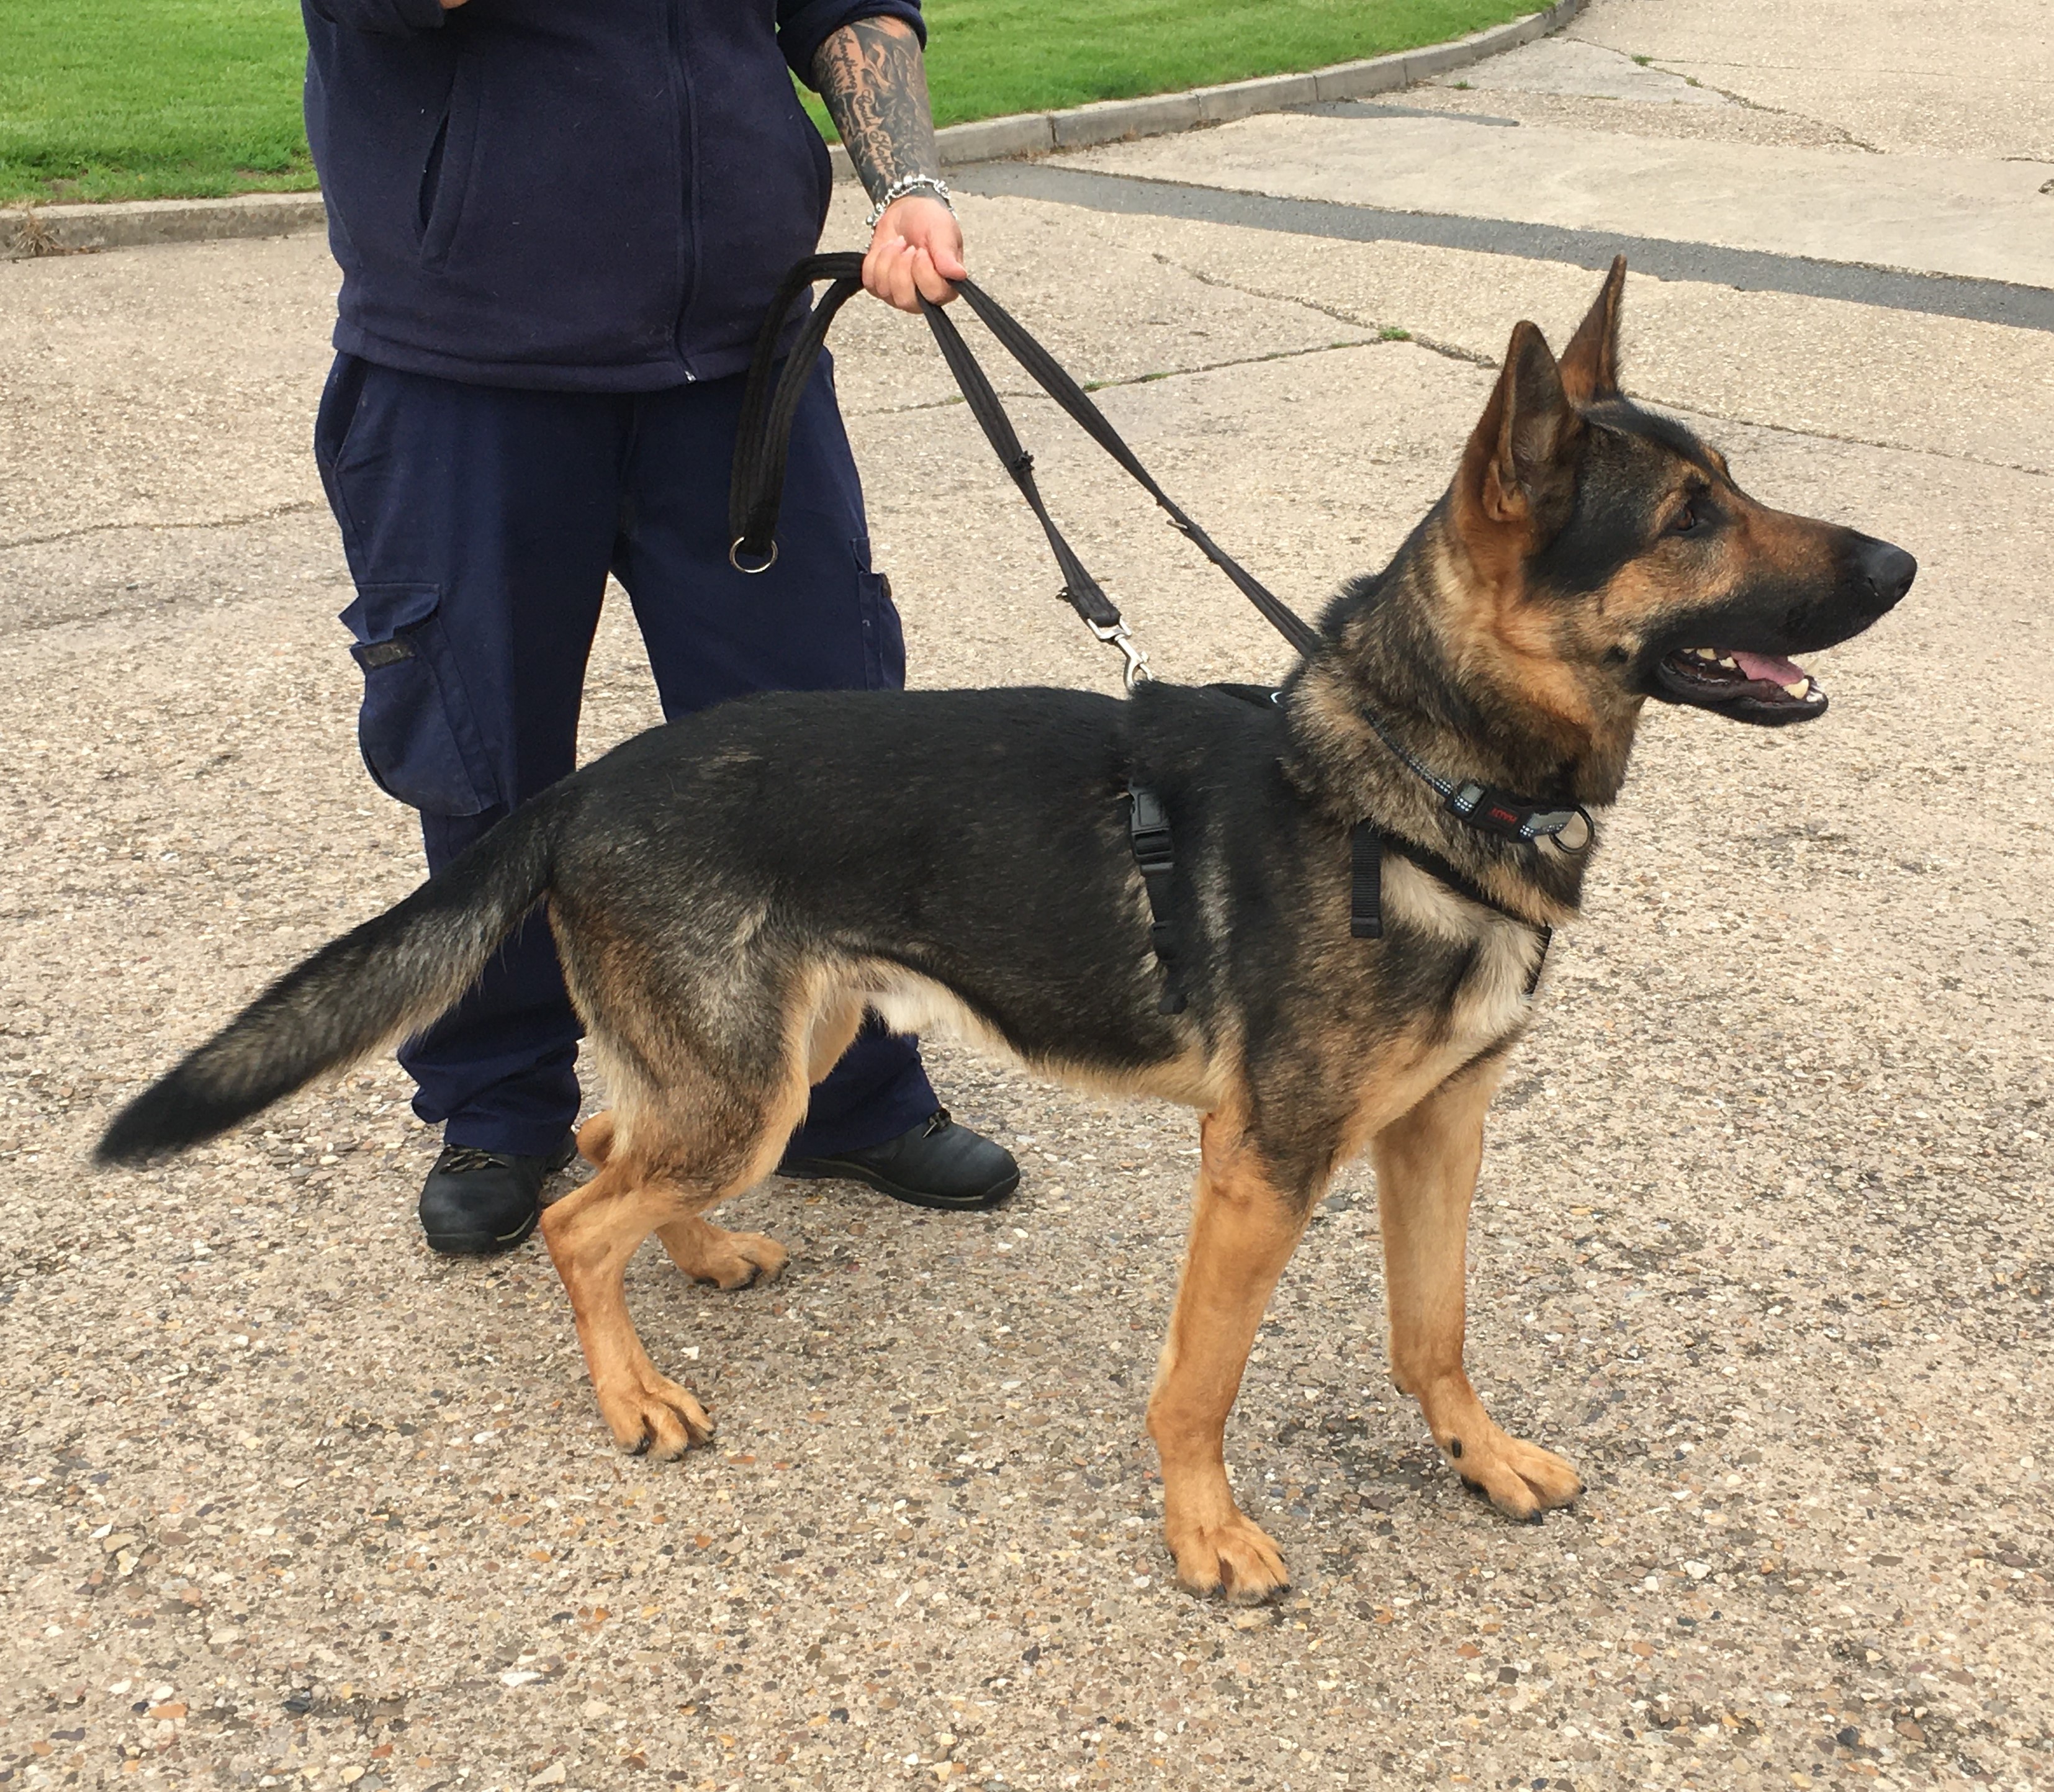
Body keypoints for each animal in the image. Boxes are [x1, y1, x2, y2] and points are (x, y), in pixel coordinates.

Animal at [104, 262, 1914, 1595]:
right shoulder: (1261, 1166)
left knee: (613, 1148)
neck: (1422, 774)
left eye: (1727, 484)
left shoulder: (1436, 1132)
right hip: (752, 1078)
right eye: (1684, 517)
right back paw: (632, 1390)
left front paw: (1475, 1456)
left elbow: (1434, 1327)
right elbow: (1199, 1377)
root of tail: (585, 777)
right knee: (567, 1211)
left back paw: (701, 1252)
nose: (1900, 561)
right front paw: (1204, 1531)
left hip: (774, 1053)